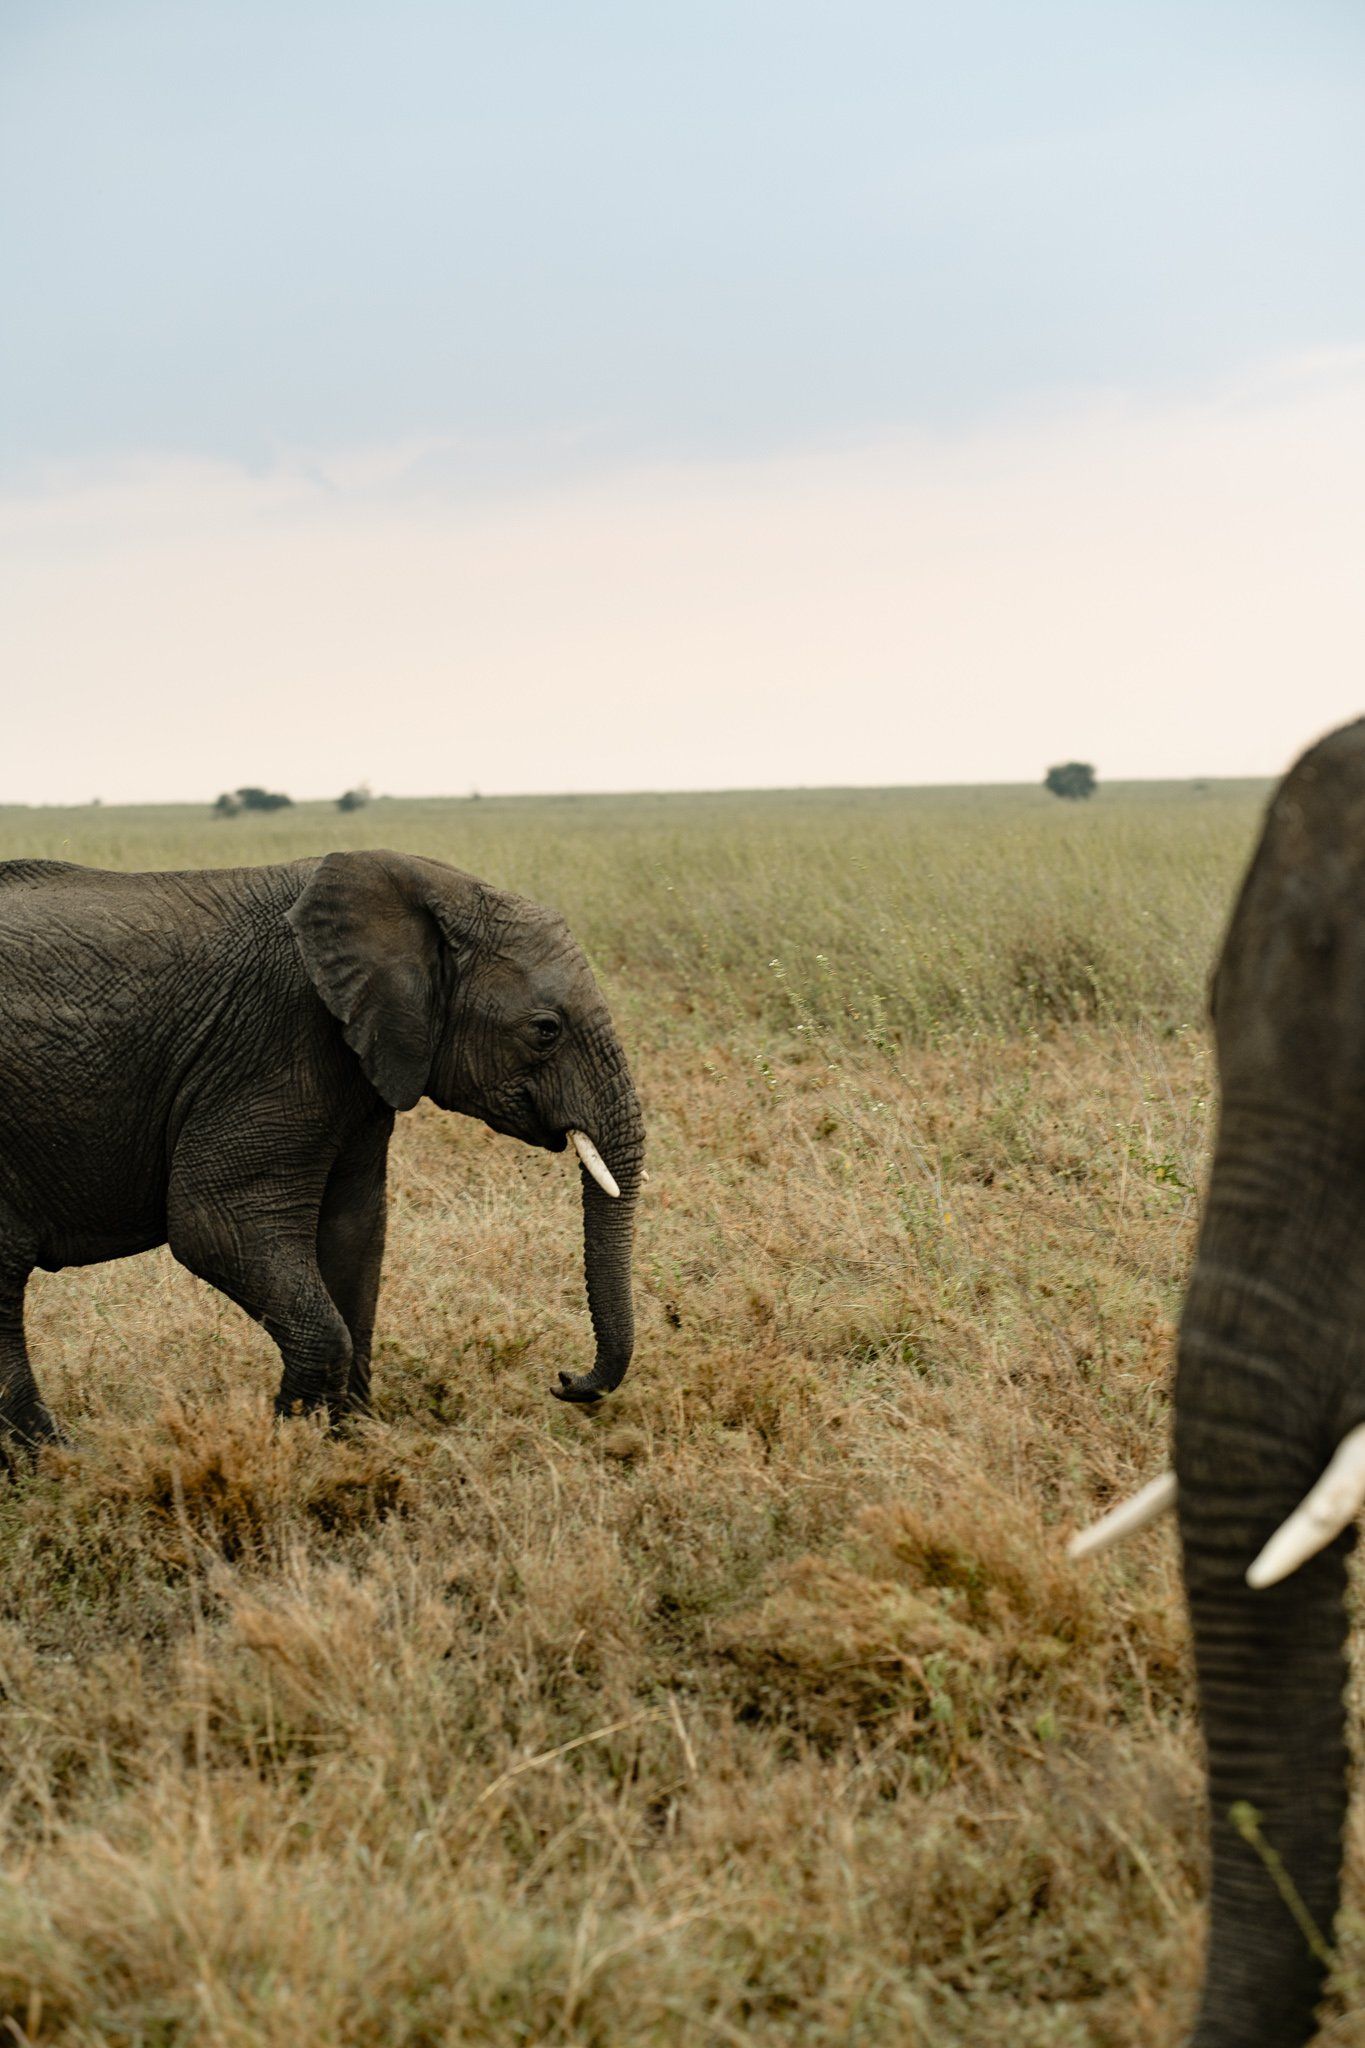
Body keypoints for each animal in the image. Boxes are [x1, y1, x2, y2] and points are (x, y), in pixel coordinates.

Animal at [0, 848, 644, 1453]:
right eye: (545, 1030)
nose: (564, 1379)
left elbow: (355, 1234)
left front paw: (349, 1444)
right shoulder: (273, 1041)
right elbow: (214, 1226)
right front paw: (286, 1448)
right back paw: (62, 1463)